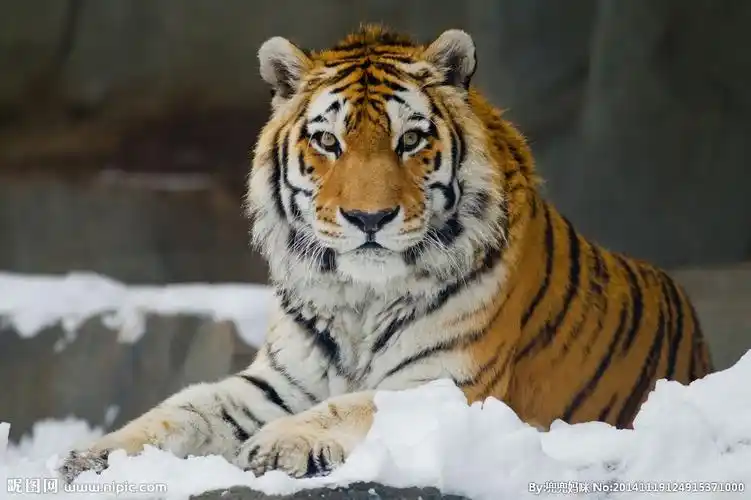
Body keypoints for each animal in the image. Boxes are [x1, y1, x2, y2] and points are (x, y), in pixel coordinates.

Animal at [59, 24, 713, 482]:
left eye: (412, 139)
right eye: (328, 141)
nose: (369, 219)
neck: (359, 297)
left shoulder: (448, 384)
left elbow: (351, 405)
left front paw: (275, 445)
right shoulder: (275, 383)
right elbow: (182, 410)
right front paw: (90, 457)